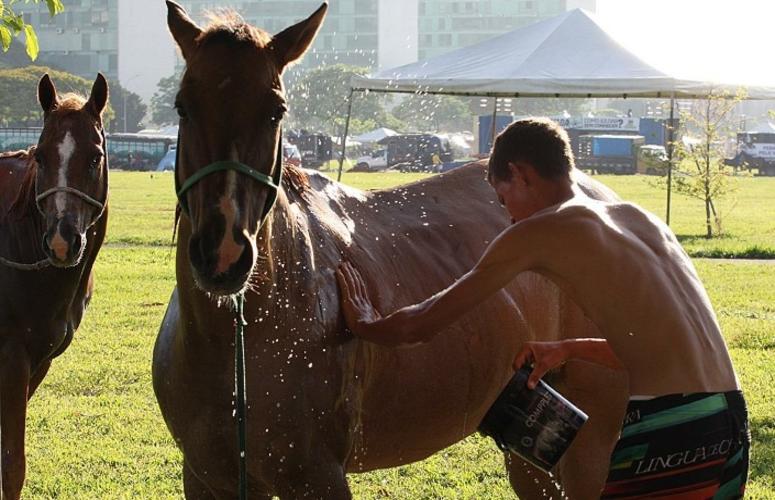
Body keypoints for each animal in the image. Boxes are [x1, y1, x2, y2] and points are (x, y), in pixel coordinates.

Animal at [0, 74, 109, 499]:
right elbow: (12, 465)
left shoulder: (38, 361)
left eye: (94, 157)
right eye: (41, 157)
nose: (63, 241)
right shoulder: (12, 358)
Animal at [154, 2, 628, 498]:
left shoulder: (318, 477)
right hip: (529, 455)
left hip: (590, 442)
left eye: (275, 111)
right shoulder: (208, 478)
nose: (223, 253)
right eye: (183, 106)